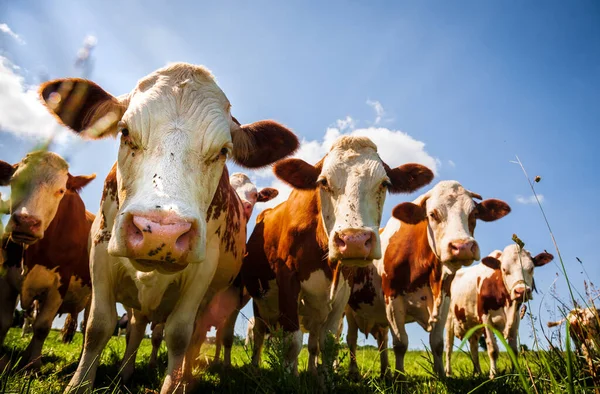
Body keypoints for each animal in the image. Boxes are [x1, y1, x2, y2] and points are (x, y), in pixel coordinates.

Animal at [0, 152, 95, 370]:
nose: (26, 222)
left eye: (61, 191)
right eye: (15, 182)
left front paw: (34, 366)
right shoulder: (7, 279)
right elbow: (4, 322)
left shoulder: (59, 284)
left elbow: (43, 326)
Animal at [38, 63, 298, 392]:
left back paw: (184, 378)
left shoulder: (202, 271)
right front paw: (79, 384)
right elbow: (98, 325)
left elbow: (179, 335)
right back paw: (126, 373)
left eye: (223, 151)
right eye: (124, 132)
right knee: (137, 327)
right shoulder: (100, 252)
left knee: (195, 335)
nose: (161, 232)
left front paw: (174, 385)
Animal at [241, 136, 434, 376]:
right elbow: (292, 342)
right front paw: (287, 378)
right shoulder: (287, 281)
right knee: (259, 334)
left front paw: (323, 377)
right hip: (261, 303)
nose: (354, 240)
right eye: (323, 181)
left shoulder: (342, 292)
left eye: (384, 184)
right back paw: (256, 367)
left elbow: (327, 342)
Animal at [366, 180, 510, 378]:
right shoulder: (392, 298)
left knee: (382, 341)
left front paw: (441, 375)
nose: (463, 246)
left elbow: (437, 343)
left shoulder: (444, 299)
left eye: (474, 214)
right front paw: (400, 377)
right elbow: (401, 343)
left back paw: (385, 371)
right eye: (432, 214)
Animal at [446, 245, 552, 378]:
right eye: (504, 269)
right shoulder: (485, 317)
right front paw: (493, 375)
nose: (521, 291)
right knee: (448, 348)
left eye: (531, 268)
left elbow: (513, 350)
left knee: (473, 347)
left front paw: (516, 373)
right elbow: (492, 349)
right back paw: (448, 374)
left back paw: (477, 373)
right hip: (448, 320)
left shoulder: (515, 319)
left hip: (473, 325)